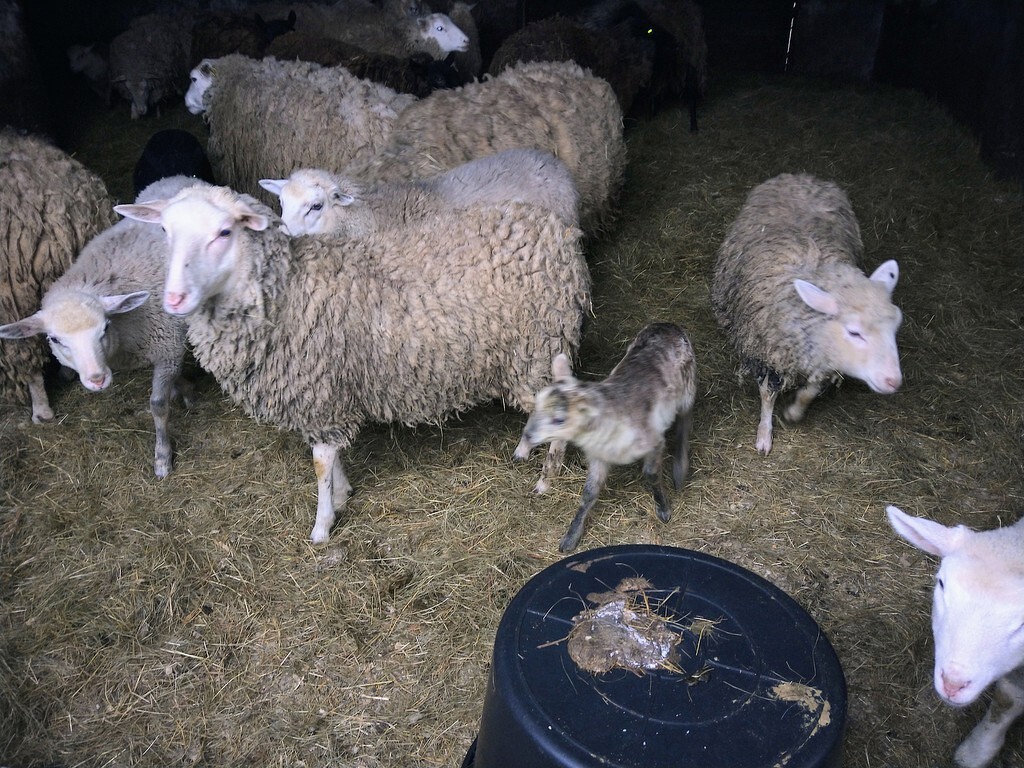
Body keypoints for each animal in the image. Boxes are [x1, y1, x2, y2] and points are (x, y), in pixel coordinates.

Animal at [0, 176, 198, 477]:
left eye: (104, 328)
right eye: (55, 340)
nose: (97, 379)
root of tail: (175, 177)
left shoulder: (167, 347)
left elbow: (158, 405)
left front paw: (163, 457)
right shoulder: (168, 348)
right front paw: (183, 389)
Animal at [115, 183, 590, 543]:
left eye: (224, 232)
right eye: (164, 229)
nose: (175, 299)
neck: (285, 290)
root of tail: (557, 231)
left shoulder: (317, 385)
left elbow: (321, 462)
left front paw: (323, 525)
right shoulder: (327, 390)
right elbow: (331, 455)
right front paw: (343, 494)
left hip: (536, 344)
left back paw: (546, 479)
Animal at [514, 322, 696, 552]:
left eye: (559, 419)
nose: (528, 434)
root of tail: (667, 324)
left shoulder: (653, 441)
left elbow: (651, 473)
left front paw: (663, 508)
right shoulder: (598, 457)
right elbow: (589, 493)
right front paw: (571, 536)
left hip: (687, 386)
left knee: (685, 422)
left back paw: (680, 469)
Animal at [710, 173, 903, 455]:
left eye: (895, 326)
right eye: (854, 332)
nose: (893, 381)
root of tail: (801, 177)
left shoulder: (824, 359)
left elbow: (810, 390)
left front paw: (794, 412)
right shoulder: (767, 354)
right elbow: (767, 395)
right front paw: (764, 435)